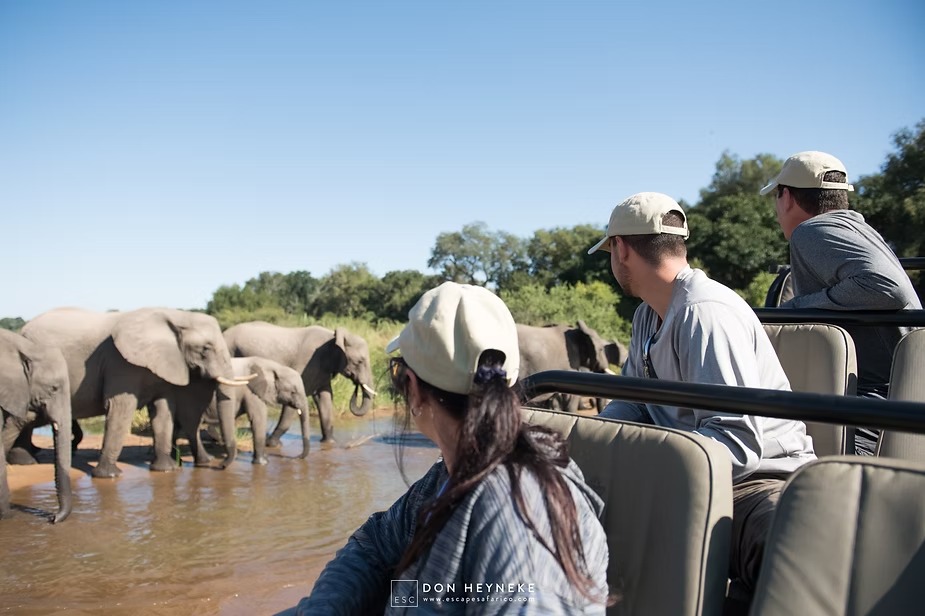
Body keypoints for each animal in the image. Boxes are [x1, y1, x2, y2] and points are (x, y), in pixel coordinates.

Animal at [20, 308, 252, 478]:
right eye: (205, 349)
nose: (220, 466)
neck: (176, 315)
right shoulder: (120, 363)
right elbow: (121, 409)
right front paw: (109, 476)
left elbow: (163, 411)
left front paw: (166, 470)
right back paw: (28, 460)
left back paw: (29, 457)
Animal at [176, 356, 309, 464]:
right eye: (293, 392)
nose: (297, 457)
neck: (273, 366)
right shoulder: (251, 391)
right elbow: (258, 418)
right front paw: (263, 463)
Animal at [223, 322, 377, 455]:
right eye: (360, 361)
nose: (356, 384)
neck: (332, 339)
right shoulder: (308, 363)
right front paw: (271, 444)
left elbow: (324, 398)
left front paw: (330, 443)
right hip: (229, 352)